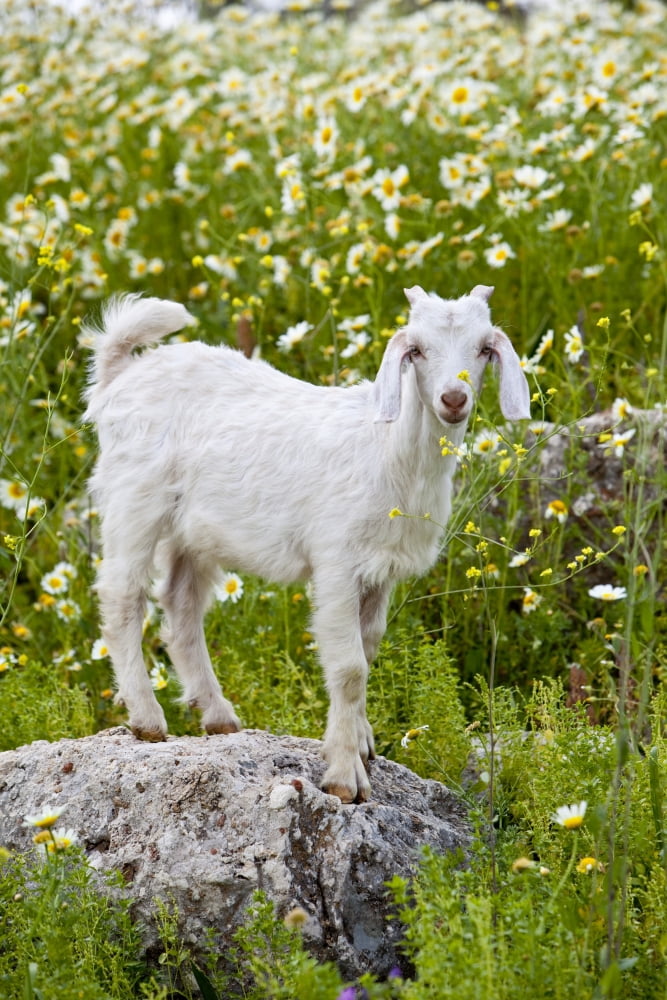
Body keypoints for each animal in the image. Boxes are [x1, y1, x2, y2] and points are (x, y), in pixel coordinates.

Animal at [83, 285, 530, 803]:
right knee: (122, 596)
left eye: (483, 348)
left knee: (180, 604)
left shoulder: (380, 570)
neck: (390, 451)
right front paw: (344, 776)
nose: (453, 398)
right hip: (135, 497)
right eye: (416, 349)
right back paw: (148, 720)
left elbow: (368, 647)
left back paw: (218, 715)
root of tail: (121, 373)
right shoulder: (337, 560)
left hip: (195, 530)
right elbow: (349, 667)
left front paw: (362, 742)